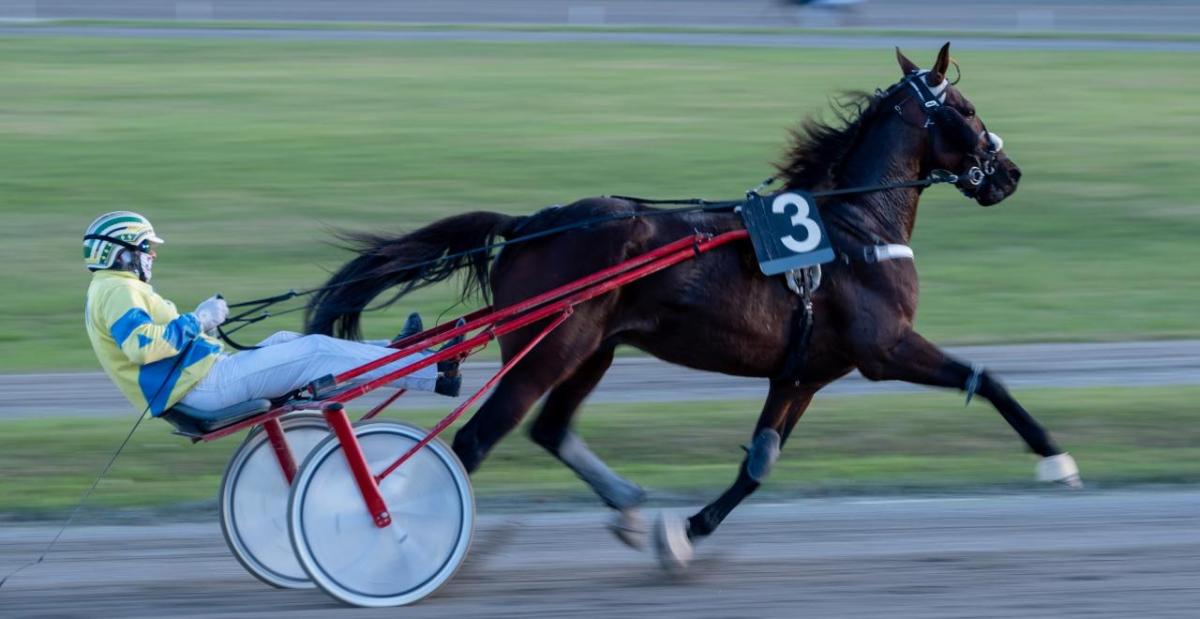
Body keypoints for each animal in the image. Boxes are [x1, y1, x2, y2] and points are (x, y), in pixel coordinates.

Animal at [307, 42, 1080, 566]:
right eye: (967, 111)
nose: (1008, 173)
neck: (856, 228)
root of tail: (533, 224)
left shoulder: (801, 372)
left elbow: (758, 463)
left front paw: (681, 534)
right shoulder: (884, 348)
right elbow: (988, 378)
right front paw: (1056, 458)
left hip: (593, 347)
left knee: (551, 429)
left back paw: (627, 506)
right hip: (549, 348)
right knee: (475, 441)